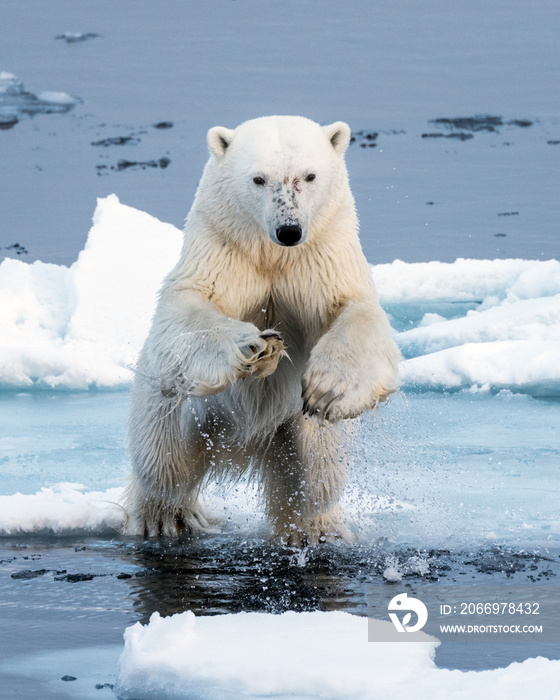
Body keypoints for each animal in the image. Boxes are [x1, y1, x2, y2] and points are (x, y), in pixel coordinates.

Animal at [124, 115, 400, 544]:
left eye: (309, 175)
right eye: (258, 179)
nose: (289, 230)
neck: (272, 255)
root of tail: (244, 447)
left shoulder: (322, 255)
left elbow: (353, 310)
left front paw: (328, 388)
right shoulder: (223, 249)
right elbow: (189, 308)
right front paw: (255, 348)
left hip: (293, 427)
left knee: (318, 466)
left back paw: (316, 529)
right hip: (173, 410)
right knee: (163, 458)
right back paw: (165, 517)